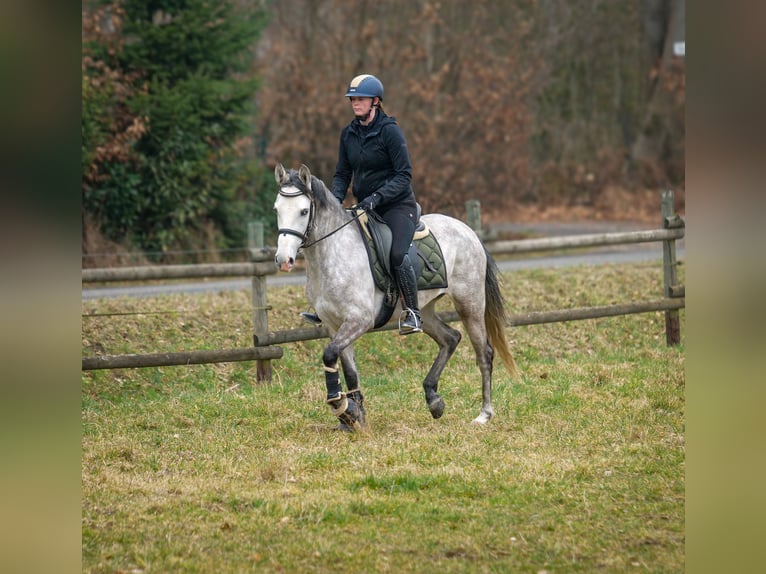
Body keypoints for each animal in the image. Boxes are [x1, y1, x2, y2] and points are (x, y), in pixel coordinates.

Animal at [272, 163, 520, 432]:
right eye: (277, 209)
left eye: (304, 211)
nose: (283, 260)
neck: (334, 254)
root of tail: (468, 231)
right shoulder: (333, 325)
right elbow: (349, 370)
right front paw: (355, 416)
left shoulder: (358, 321)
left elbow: (329, 354)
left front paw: (342, 407)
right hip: (425, 311)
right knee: (450, 338)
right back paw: (434, 400)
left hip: (470, 304)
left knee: (484, 353)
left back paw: (484, 414)